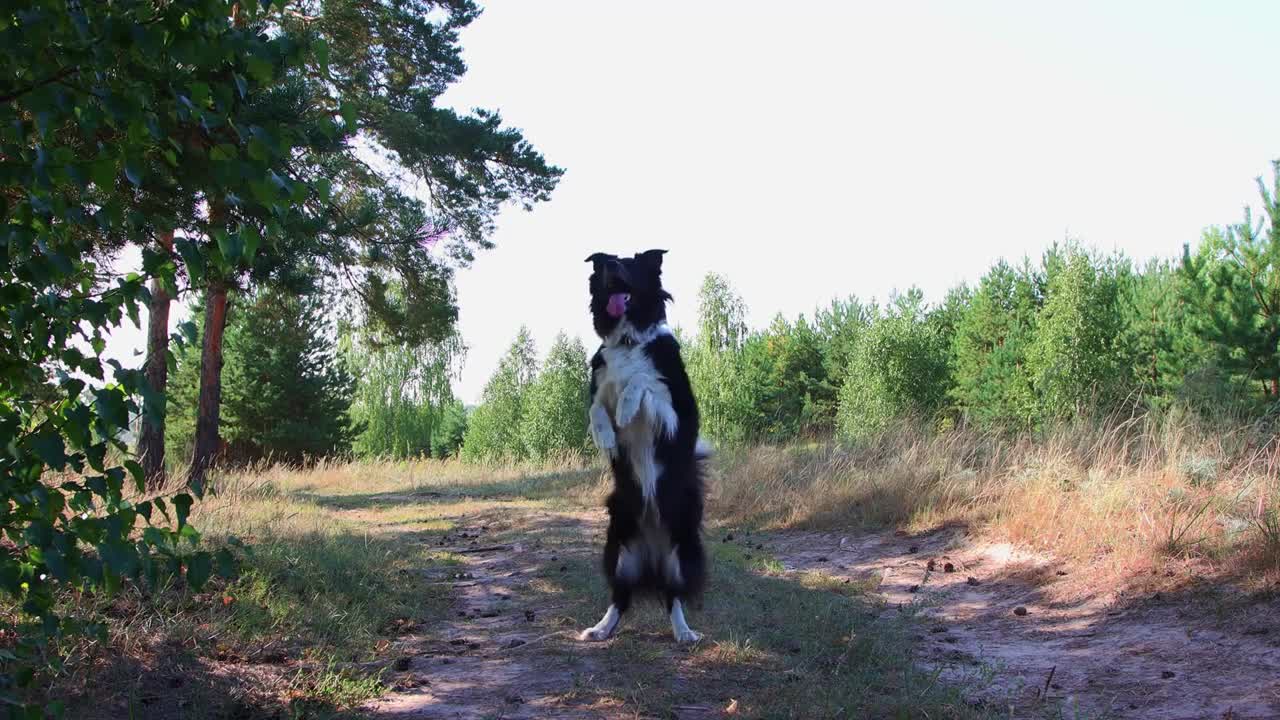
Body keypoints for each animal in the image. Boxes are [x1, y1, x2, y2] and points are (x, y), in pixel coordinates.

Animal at [581, 249, 711, 640]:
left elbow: (641, 381)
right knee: (620, 596)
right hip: (619, 545)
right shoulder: (599, 386)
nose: (609, 267)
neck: (628, 341)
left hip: (682, 549)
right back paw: (600, 629)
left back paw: (684, 633)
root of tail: (652, 548)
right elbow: (595, 407)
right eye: (605, 261)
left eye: (629, 264)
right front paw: (606, 434)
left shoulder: (678, 419)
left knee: (674, 595)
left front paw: (626, 408)